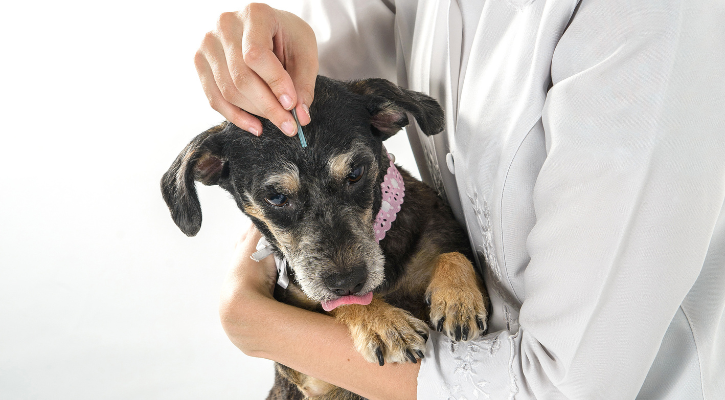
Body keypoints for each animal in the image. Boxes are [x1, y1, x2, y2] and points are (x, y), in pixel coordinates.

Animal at [161, 76, 490, 398]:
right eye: (276, 197)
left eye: (356, 172)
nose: (349, 281)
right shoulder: (309, 378)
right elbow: (337, 304)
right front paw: (385, 325)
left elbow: (452, 254)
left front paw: (458, 298)